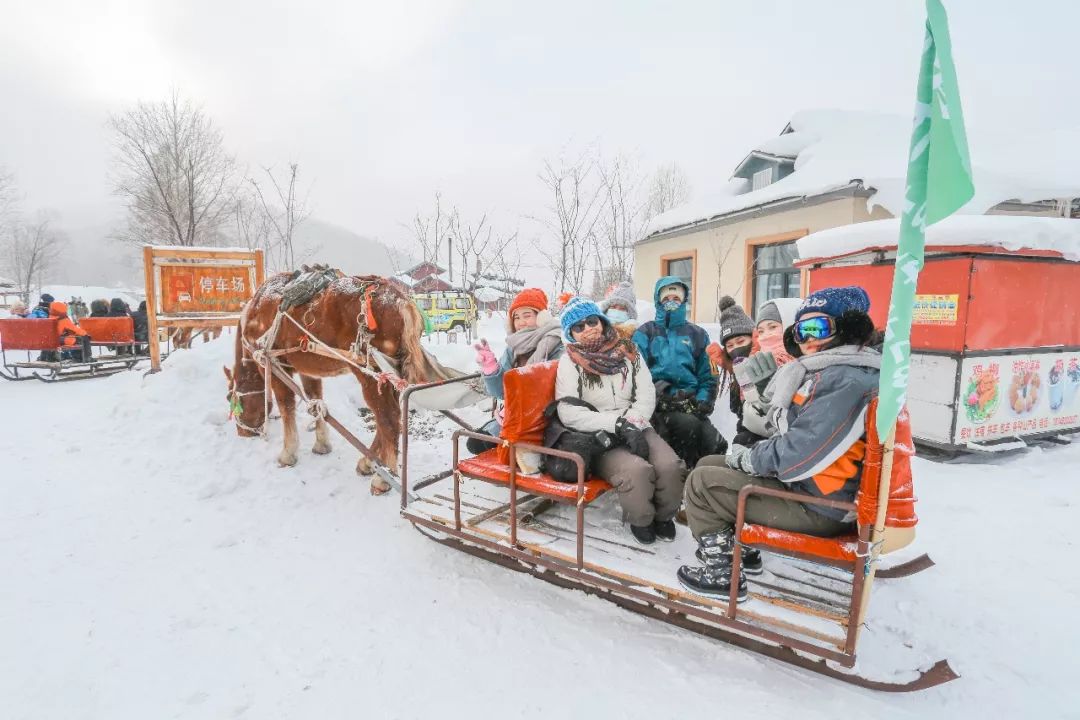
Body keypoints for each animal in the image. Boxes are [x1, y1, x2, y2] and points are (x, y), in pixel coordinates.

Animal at [223, 273, 429, 492]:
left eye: (231, 398)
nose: (243, 432)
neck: (257, 310)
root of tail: (401, 300)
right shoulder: (308, 368)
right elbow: (315, 400)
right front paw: (322, 444)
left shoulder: (273, 365)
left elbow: (286, 407)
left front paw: (288, 453)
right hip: (392, 374)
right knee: (389, 419)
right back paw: (368, 462)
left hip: (371, 373)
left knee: (388, 419)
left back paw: (383, 479)